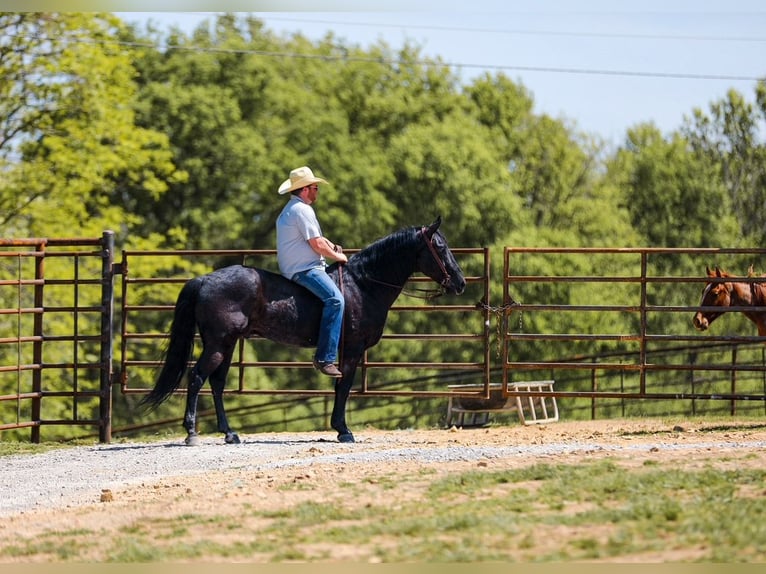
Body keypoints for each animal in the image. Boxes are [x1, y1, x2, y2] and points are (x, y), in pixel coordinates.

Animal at [140, 216, 466, 445]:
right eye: (439, 247)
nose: (460, 282)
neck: (363, 285)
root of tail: (205, 279)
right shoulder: (353, 349)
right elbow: (343, 386)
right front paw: (343, 430)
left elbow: (340, 386)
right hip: (218, 344)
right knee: (196, 378)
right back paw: (192, 432)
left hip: (227, 344)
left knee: (217, 384)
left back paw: (230, 433)